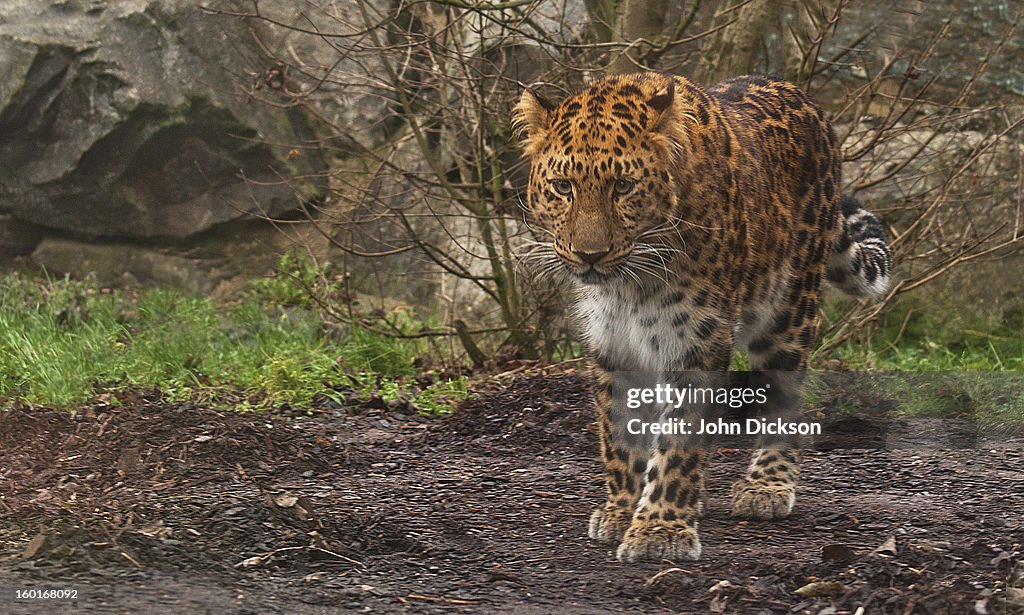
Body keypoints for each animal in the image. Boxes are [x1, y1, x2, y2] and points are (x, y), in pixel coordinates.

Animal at [516, 72, 892, 560]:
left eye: (623, 187)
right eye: (563, 187)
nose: (589, 254)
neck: (630, 283)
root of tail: (798, 93)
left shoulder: (698, 340)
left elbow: (679, 441)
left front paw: (660, 529)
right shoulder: (612, 342)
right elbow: (618, 433)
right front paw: (622, 509)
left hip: (791, 308)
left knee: (787, 393)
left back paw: (766, 486)